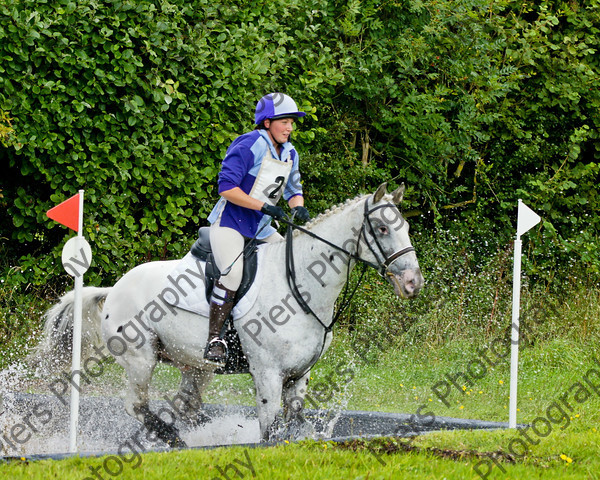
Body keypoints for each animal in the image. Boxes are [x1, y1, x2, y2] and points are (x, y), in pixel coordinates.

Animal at [37, 183, 424, 446]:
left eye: (405, 228)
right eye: (383, 229)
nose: (413, 282)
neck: (302, 284)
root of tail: (114, 288)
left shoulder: (300, 376)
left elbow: (293, 424)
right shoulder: (268, 373)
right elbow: (269, 430)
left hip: (194, 365)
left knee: (186, 405)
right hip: (140, 360)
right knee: (137, 405)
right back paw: (174, 439)